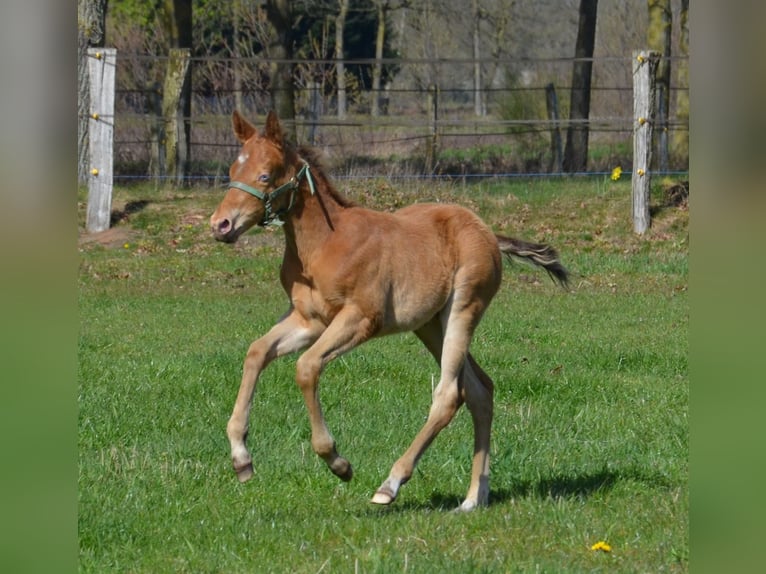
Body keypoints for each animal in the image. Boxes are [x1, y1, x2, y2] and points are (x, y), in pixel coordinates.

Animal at [210, 110, 568, 511]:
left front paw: (337, 461)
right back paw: (474, 497)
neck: (324, 244)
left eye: (265, 175)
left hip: (463, 309)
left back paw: (391, 484)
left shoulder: (361, 319)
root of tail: (489, 232)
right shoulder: (309, 320)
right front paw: (241, 458)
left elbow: (306, 367)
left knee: (449, 395)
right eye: (232, 170)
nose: (220, 225)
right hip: (430, 325)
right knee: (479, 390)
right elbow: (256, 352)